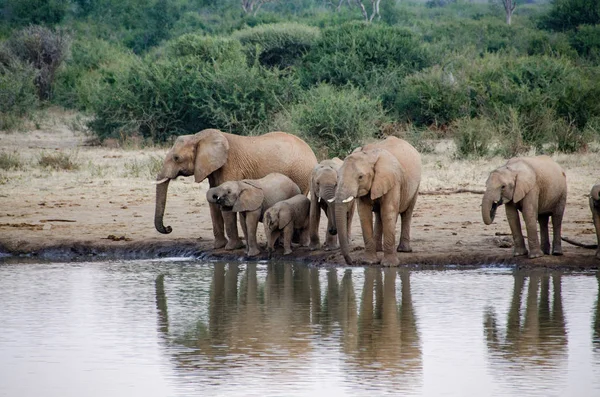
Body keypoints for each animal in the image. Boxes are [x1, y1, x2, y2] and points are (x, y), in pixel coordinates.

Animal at [152, 128, 316, 249]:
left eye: (176, 158)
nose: (168, 228)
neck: (199, 137)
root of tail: (310, 150)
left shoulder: (229, 166)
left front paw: (232, 248)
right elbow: (213, 200)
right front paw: (219, 246)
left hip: (300, 174)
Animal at [332, 136, 422, 266]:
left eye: (360, 177)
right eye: (337, 176)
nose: (352, 262)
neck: (369, 155)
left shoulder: (393, 180)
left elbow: (388, 212)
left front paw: (389, 265)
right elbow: (364, 214)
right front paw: (369, 262)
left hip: (415, 185)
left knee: (407, 213)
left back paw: (403, 250)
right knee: (379, 215)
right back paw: (379, 249)